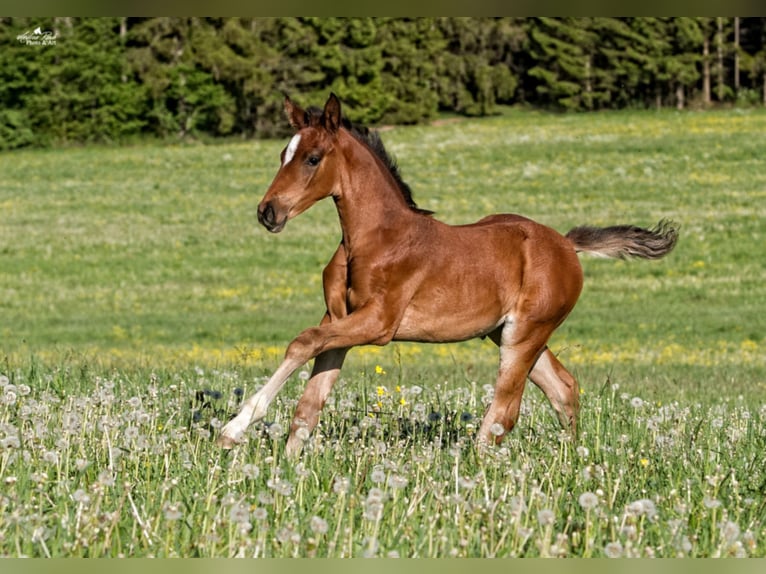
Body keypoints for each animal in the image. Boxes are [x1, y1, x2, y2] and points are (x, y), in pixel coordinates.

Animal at [217, 93, 678, 455]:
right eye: (282, 155)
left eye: (312, 158)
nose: (268, 212)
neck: (373, 238)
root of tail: (566, 245)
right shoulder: (338, 319)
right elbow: (311, 399)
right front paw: (288, 467)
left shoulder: (378, 323)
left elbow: (302, 343)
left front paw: (233, 429)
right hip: (507, 332)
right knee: (563, 388)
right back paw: (570, 461)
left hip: (525, 334)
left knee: (504, 412)